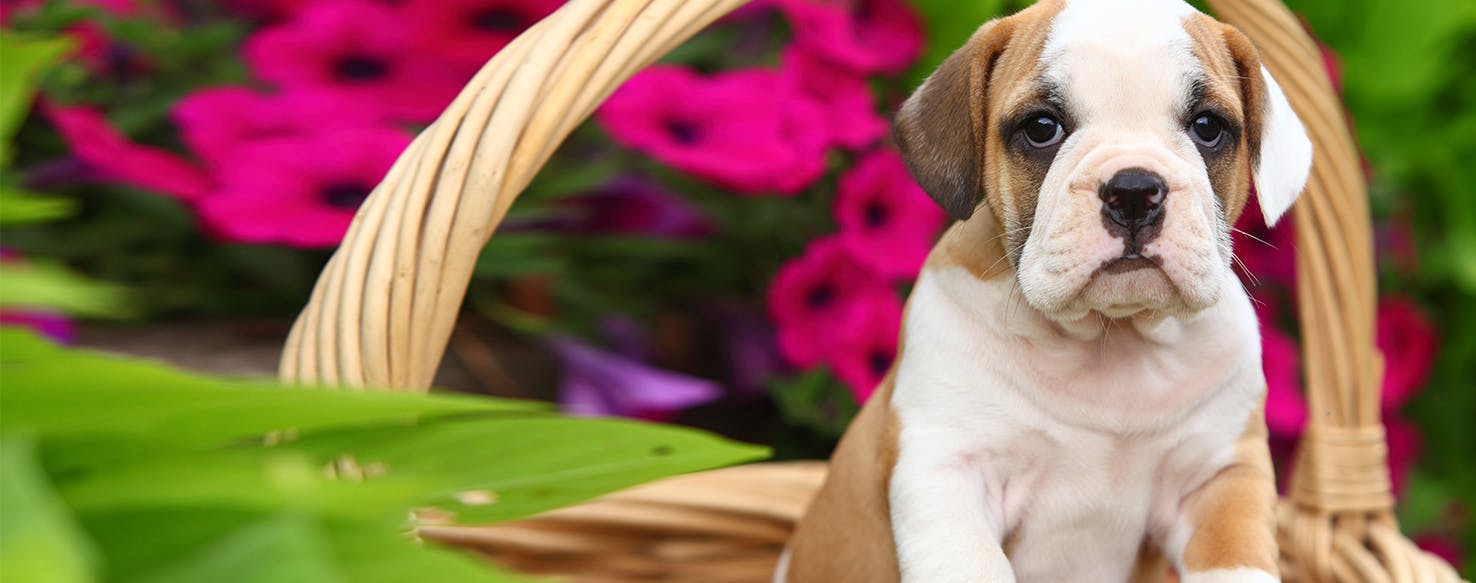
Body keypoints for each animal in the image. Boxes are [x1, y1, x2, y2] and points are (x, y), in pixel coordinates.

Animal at [779, 1, 1310, 583]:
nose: (1133, 191)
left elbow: (1234, 559)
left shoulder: (1221, 478)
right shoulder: (947, 467)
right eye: (1041, 128)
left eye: (1208, 127)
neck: (1111, 338)